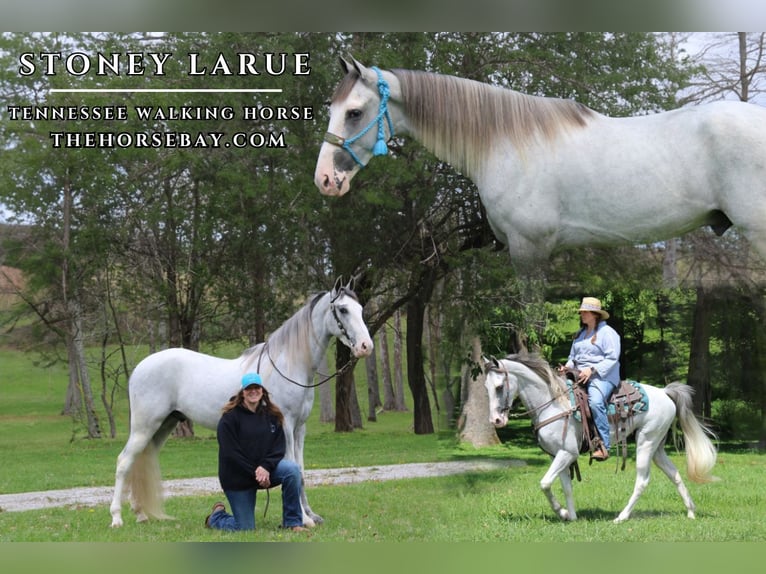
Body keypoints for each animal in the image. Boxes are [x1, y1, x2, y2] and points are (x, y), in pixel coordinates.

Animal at [109, 284, 374, 532]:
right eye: (343, 310)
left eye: (360, 309)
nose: (365, 346)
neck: (288, 364)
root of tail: (140, 367)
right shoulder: (286, 426)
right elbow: (292, 468)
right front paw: (304, 519)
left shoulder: (300, 428)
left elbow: (300, 471)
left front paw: (311, 515)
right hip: (145, 427)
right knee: (123, 462)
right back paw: (117, 518)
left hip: (164, 425)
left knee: (140, 461)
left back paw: (140, 514)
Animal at [486, 354, 720, 524]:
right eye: (486, 388)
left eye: (499, 387)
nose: (496, 420)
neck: (554, 403)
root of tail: (664, 392)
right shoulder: (558, 455)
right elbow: (564, 486)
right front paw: (570, 516)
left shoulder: (567, 453)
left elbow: (544, 483)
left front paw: (562, 513)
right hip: (657, 447)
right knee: (675, 475)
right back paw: (690, 512)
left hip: (646, 442)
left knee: (642, 481)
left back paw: (622, 517)